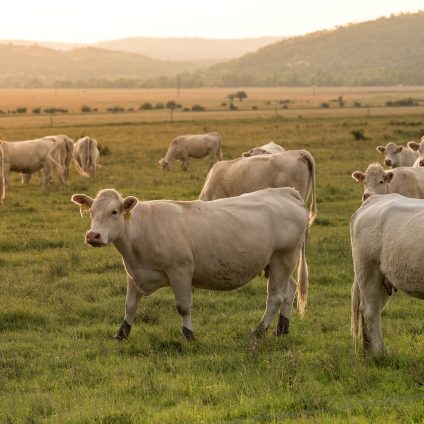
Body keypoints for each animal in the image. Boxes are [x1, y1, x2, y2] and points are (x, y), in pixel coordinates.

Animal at [71, 187, 310, 342]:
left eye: (114, 211)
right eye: (92, 212)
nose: (93, 235)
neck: (142, 229)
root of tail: (286, 192)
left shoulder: (180, 271)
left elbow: (183, 307)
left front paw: (189, 335)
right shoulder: (134, 273)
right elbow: (130, 306)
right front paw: (121, 333)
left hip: (283, 257)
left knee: (275, 297)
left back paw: (258, 331)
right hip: (278, 262)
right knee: (289, 290)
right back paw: (282, 329)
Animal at [350, 194, 424, 352]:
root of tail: (375, 198)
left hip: (382, 280)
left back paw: (368, 350)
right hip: (369, 271)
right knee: (370, 311)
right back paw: (380, 351)